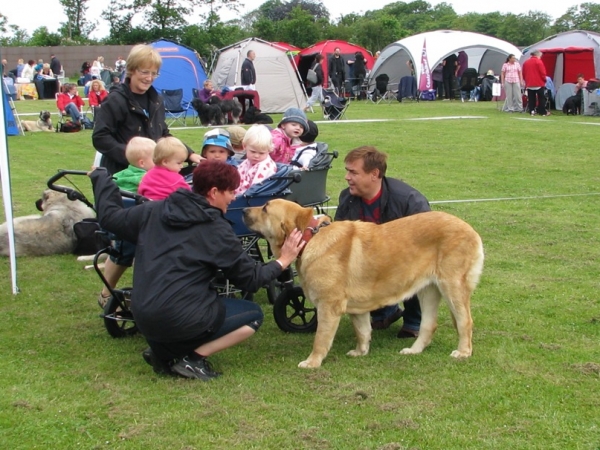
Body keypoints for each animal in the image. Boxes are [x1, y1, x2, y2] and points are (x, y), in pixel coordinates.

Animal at [244, 200, 482, 370]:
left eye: (265, 208)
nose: (243, 209)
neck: (310, 237)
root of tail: (471, 230)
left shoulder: (328, 307)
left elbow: (320, 339)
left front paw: (312, 362)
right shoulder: (356, 308)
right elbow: (363, 331)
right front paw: (361, 352)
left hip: (452, 287)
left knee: (465, 322)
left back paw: (463, 352)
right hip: (428, 291)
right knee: (428, 325)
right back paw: (414, 351)